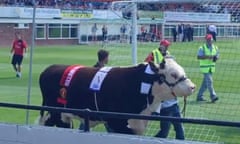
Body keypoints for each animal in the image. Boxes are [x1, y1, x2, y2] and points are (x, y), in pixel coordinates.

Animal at [37, 58, 195, 135]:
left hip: (64, 116)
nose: (192, 86)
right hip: (54, 114)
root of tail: (50, 68)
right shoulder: (117, 122)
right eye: (173, 74)